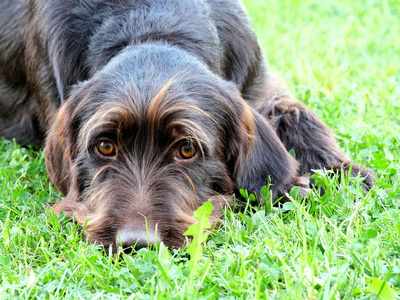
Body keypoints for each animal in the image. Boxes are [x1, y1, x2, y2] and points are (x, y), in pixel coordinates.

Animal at [0, 0, 376, 250]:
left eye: (187, 149)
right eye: (105, 146)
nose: (137, 243)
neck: (152, 24)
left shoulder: (259, 82)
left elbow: (295, 113)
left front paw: (340, 173)